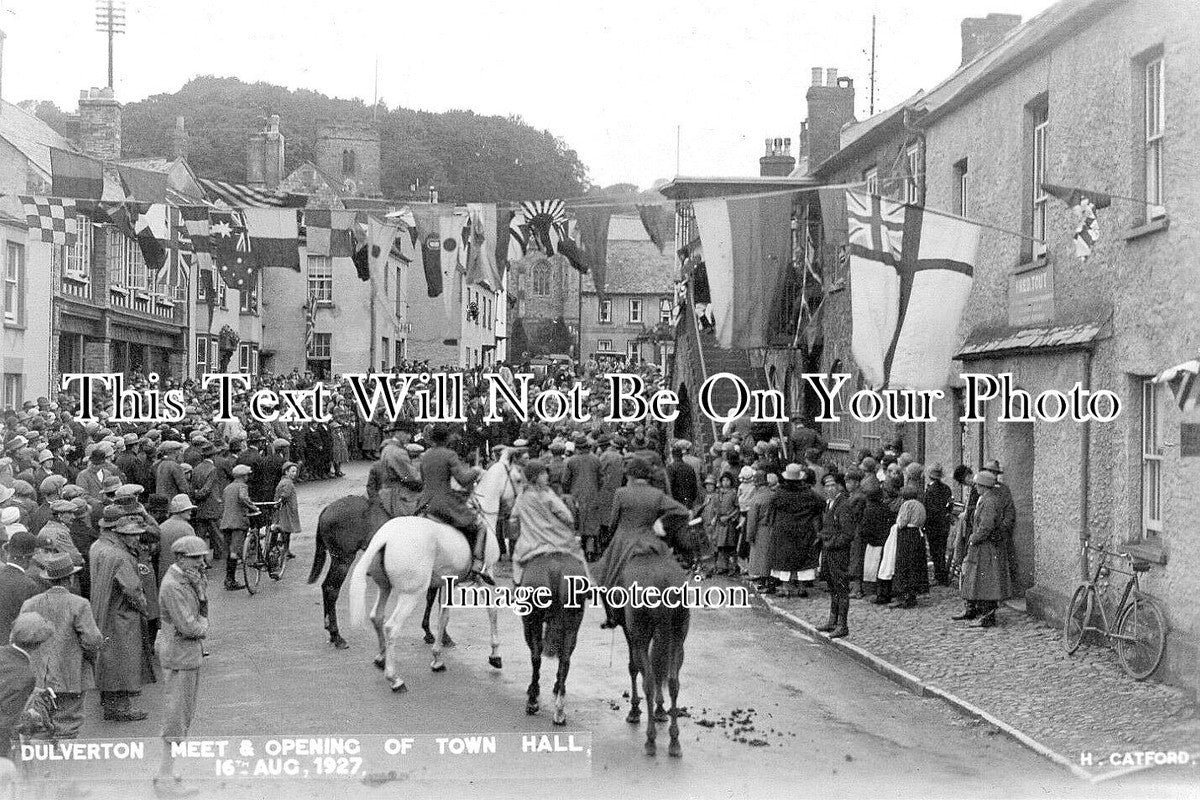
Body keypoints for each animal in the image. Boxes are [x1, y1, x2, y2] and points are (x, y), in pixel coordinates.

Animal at [309, 494, 451, 652]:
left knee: (326, 587)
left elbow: (432, 598)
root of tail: (328, 508)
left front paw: (431, 634)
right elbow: (440, 601)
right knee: (331, 590)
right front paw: (441, 636)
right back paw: (337, 636)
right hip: (343, 560)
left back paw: (331, 633)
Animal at [345, 450, 518, 695]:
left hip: (385, 587)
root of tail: (385, 536)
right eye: (518, 479)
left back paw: (381, 658)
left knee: (376, 617)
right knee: (391, 627)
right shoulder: (486, 577)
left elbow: (443, 617)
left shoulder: (447, 583)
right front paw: (495, 654)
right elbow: (492, 611)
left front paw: (437, 658)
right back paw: (395, 679)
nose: (513, 513)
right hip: (411, 594)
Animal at [518, 554, 588, 729]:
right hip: (573, 621)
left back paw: (532, 702)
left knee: (536, 656)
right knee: (565, 660)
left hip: (533, 619)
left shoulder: (527, 622)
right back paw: (560, 711)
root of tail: (555, 568)